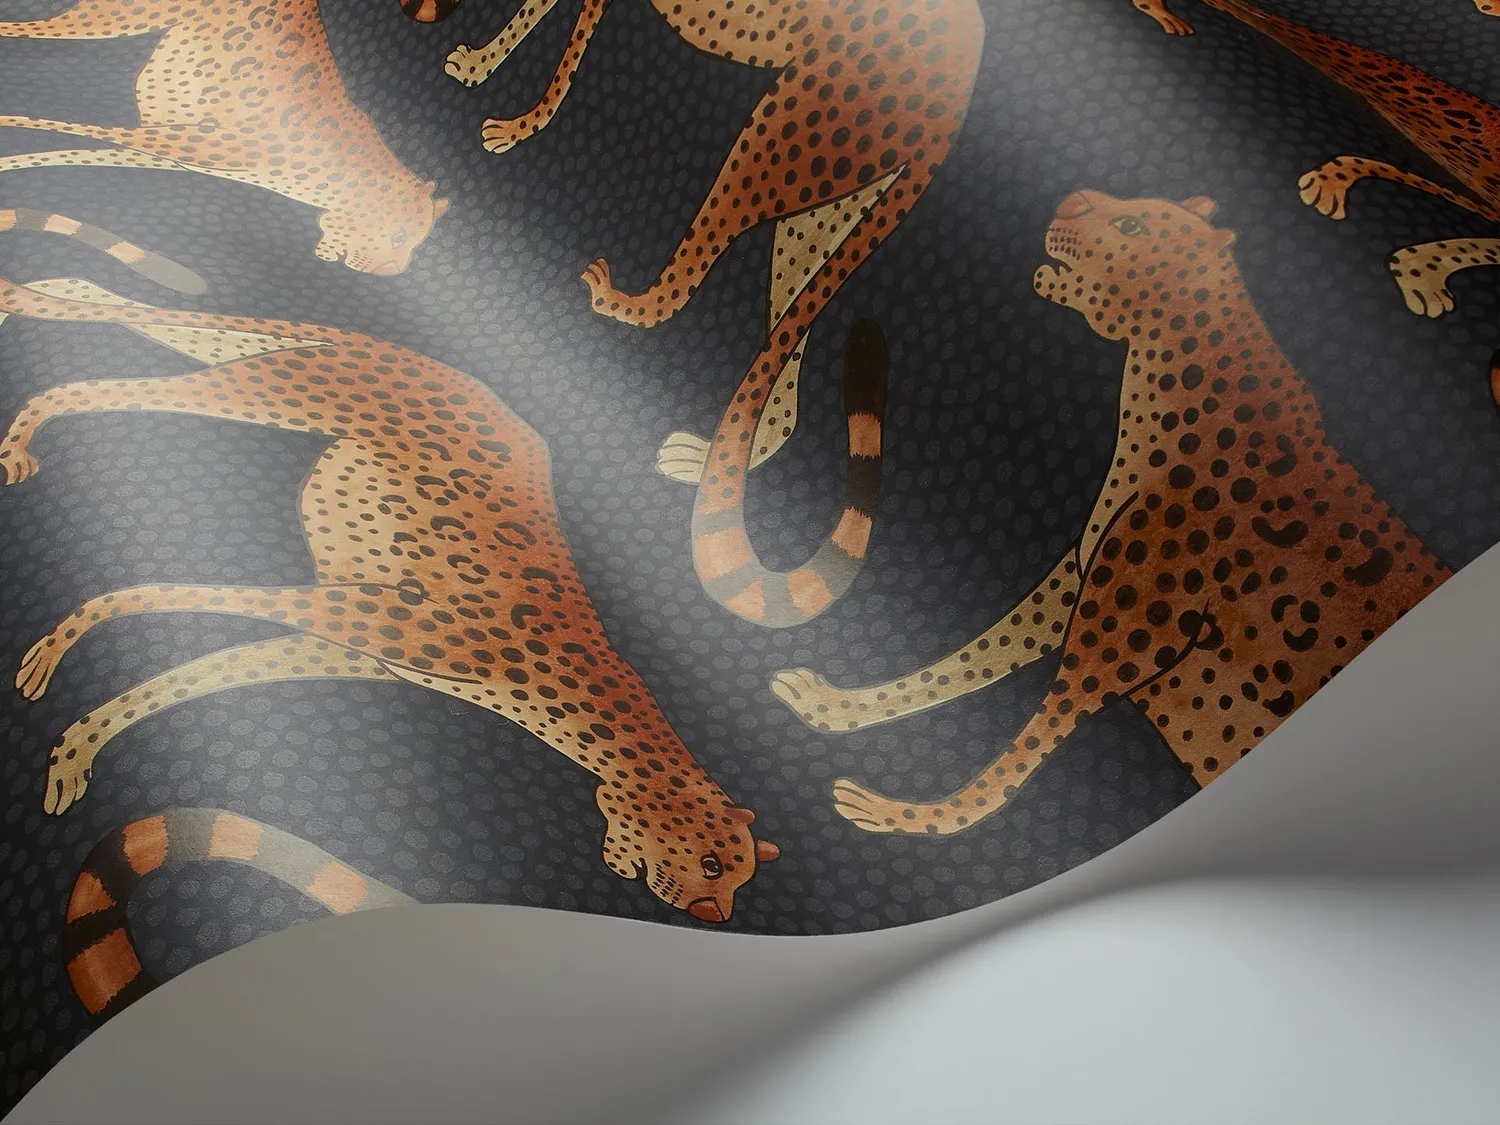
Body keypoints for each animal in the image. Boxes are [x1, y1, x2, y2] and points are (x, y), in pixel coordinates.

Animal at [0, 0, 450, 273]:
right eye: (398, 236)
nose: (391, 272)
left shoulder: (164, 149)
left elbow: (68, 150)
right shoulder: (171, 141)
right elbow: (58, 127)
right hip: (116, 18)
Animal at [0, 243, 780, 923]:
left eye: (740, 879)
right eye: (714, 863)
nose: (712, 915)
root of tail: (441, 363)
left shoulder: (347, 644)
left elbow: (197, 674)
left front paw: (76, 748)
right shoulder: (357, 611)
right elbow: (162, 595)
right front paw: (55, 656)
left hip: (254, 364)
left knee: (114, 308)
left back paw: (47, 293)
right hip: (273, 389)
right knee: (85, 381)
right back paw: (23, 426)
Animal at [441, 0, 981, 509]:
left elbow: (566, 55)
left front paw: (520, 124)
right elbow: (535, 13)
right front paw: (479, 65)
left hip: (774, 137)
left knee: (684, 287)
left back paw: (620, 303)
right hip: (821, 213)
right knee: (785, 378)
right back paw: (704, 461)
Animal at [775, 190, 1448, 837]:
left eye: (1132, 227)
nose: (1067, 201)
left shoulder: (1119, 650)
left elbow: (1018, 755)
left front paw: (906, 817)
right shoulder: (1075, 590)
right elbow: (966, 662)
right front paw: (835, 707)